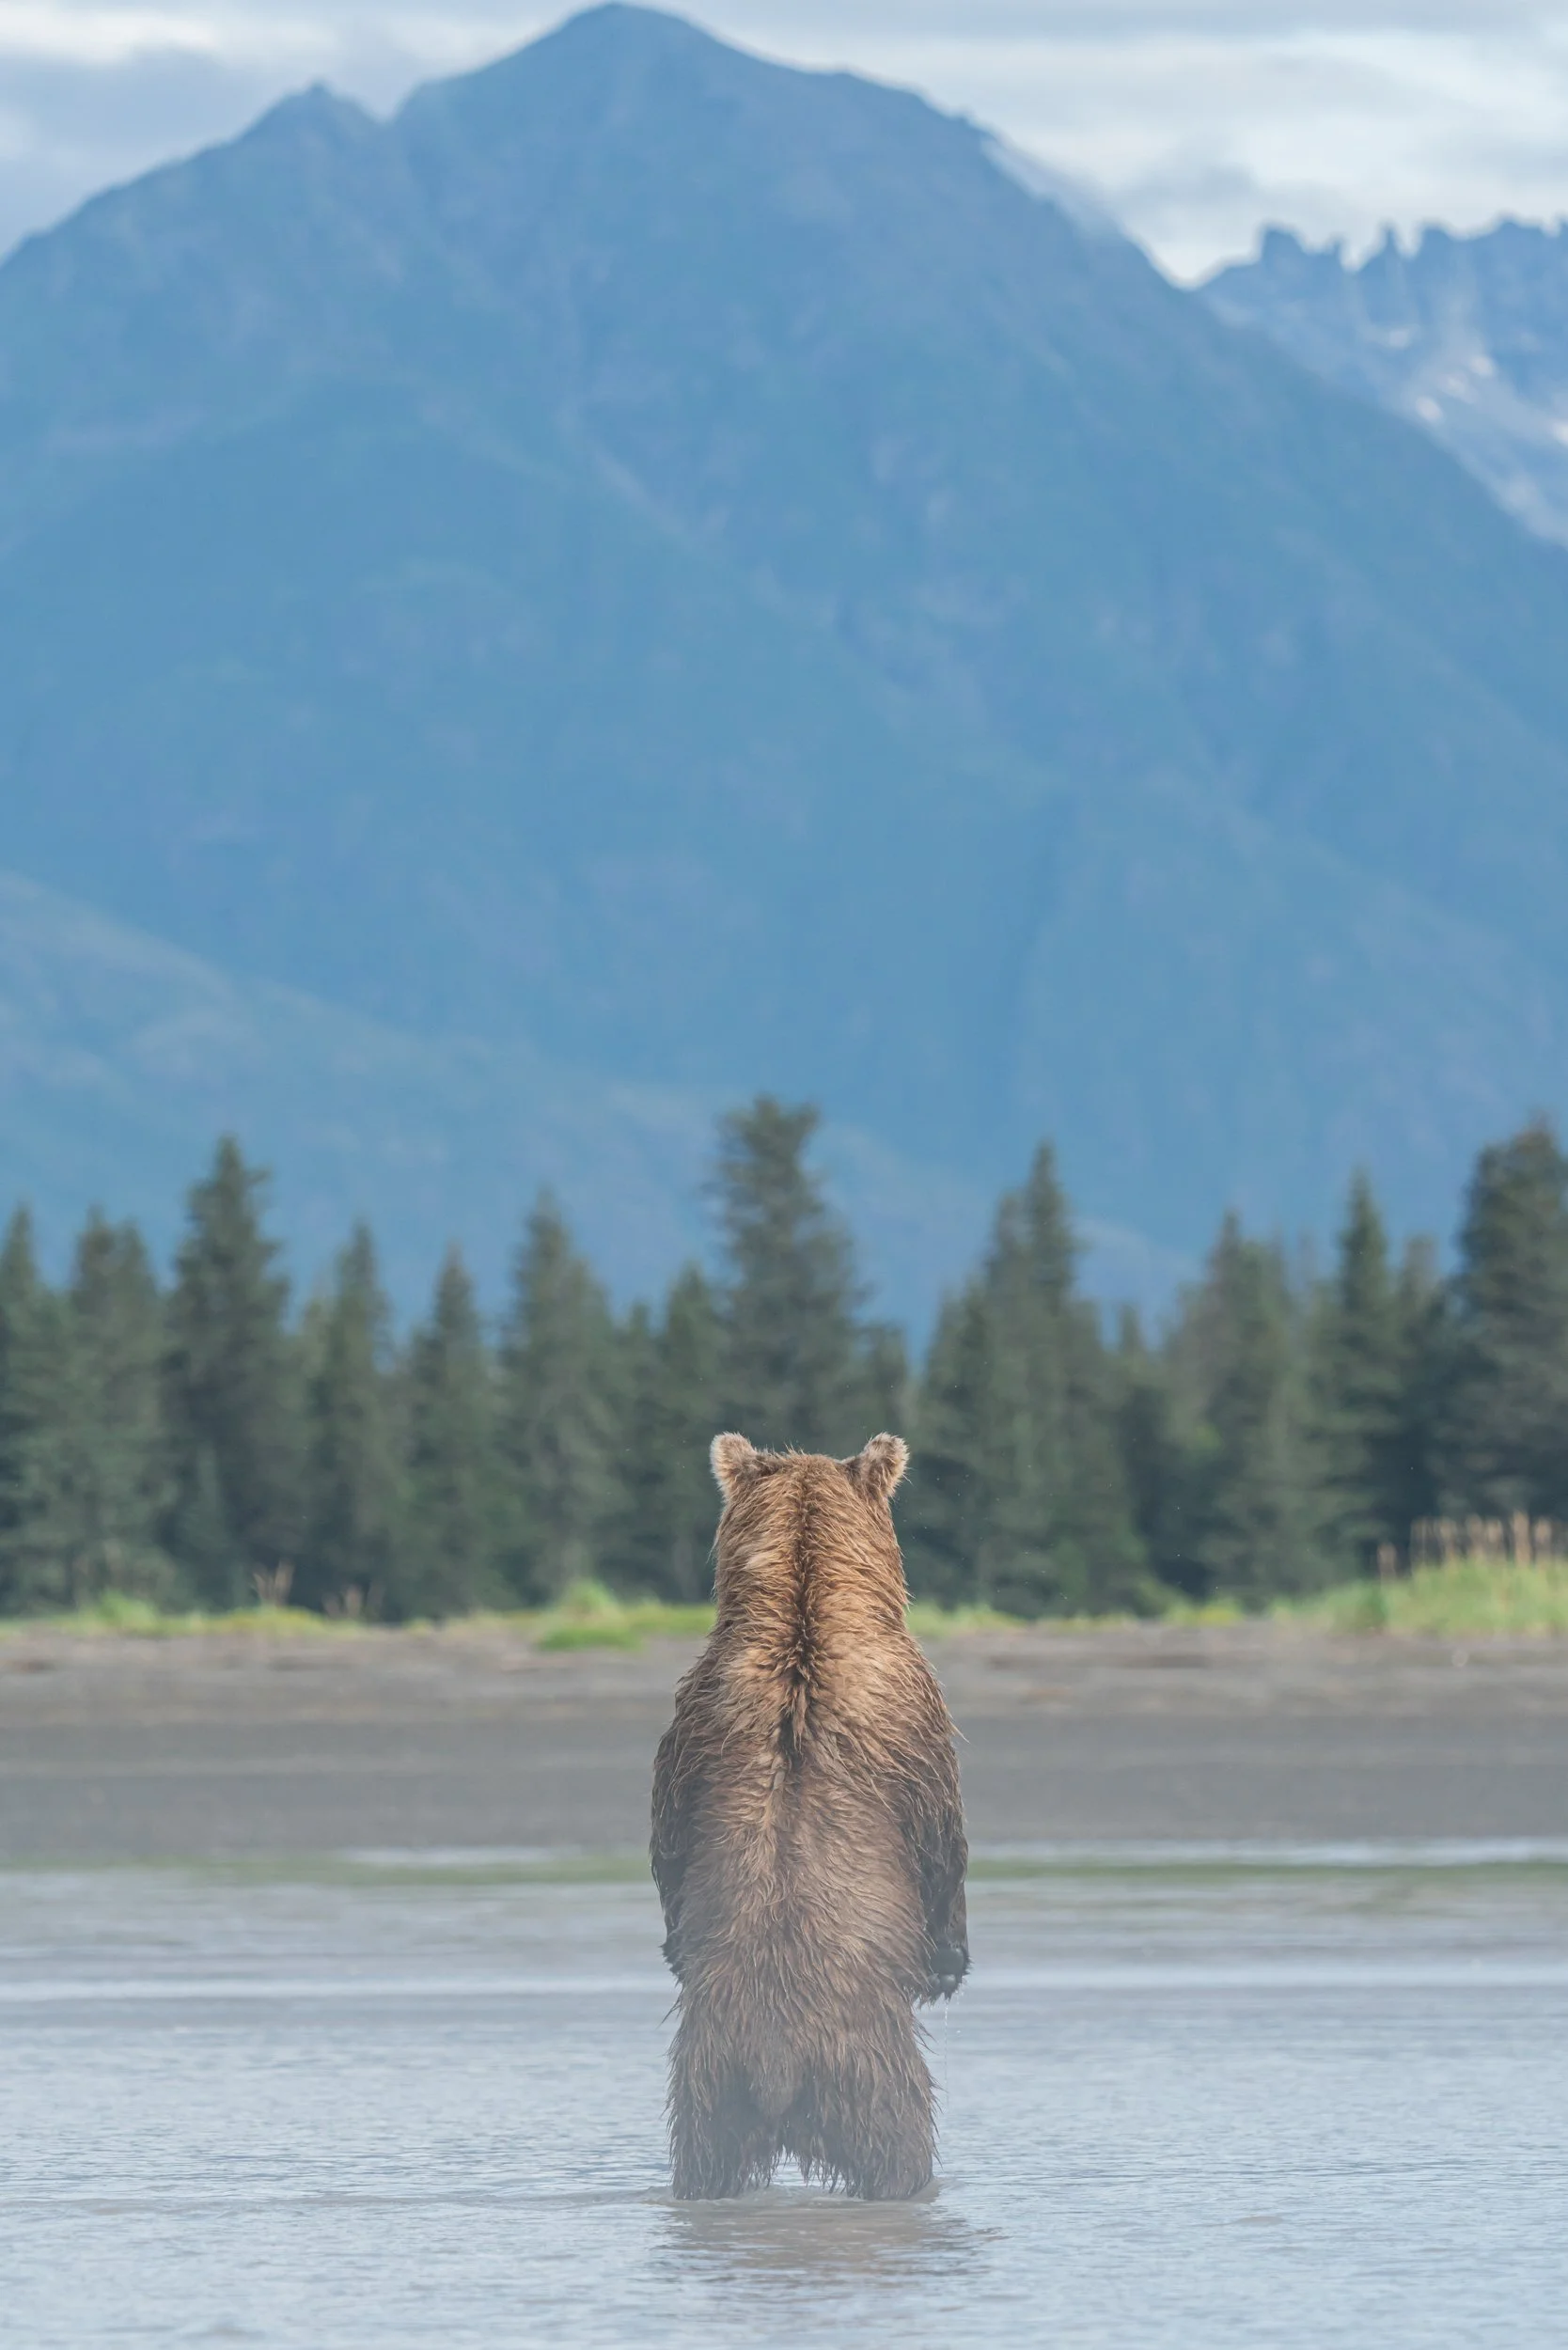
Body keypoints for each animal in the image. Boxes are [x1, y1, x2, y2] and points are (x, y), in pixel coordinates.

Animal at [650, 1431, 968, 2202]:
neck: (803, 1610)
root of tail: (778, 2068)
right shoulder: (914, 1717)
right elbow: (942, 1837)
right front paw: (951, 1958)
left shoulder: (697, 1716)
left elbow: (669, 1840)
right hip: (870, 2066)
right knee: (901, 2144)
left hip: (709, 2080)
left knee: (702, 2158)